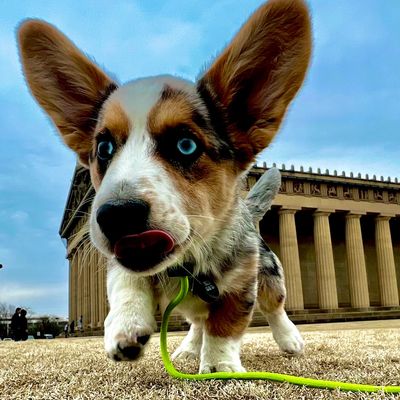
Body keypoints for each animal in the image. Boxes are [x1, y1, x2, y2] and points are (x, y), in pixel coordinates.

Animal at [18, 0, 312, 372]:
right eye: (104, 149)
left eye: (185, 145)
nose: (117, 215)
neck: (185, 265)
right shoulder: (104, 254)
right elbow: (125, 281)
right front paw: (125, 326)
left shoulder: (242, 281)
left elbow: (225, 325)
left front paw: (220, 367)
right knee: (197, 322)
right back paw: (187, 347)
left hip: (270, 271)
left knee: (273, 306)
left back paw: (288, 338)